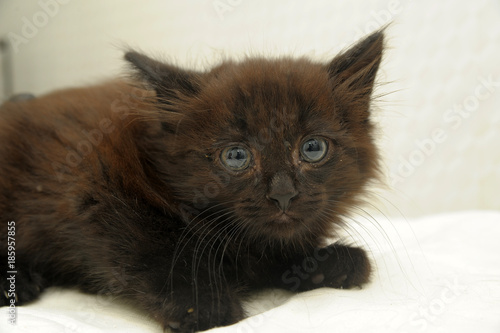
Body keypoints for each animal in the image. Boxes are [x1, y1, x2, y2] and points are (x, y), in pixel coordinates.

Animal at [0, 29, 384, 330]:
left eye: (313, 148)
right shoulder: (95, 181)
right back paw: (17, 284)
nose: (283, 194)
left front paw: (325, 263)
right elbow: (150, 244)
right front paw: (200, 303)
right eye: (236, 155)